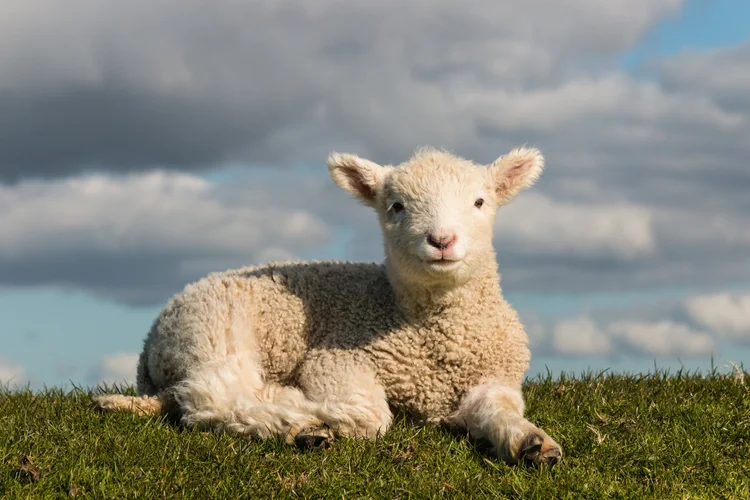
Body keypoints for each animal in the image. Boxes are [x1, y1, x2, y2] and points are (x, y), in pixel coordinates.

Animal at [93, 146, 562, 466]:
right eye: (396, 206)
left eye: (480, 203)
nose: (442, 240)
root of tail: (151, 339)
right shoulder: (335, 359)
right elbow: (371, 415)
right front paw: (308, 407)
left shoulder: (494, 377)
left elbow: (502, 410)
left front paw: (533, 443)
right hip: (212, 332)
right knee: (214, 399)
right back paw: (298, 423)